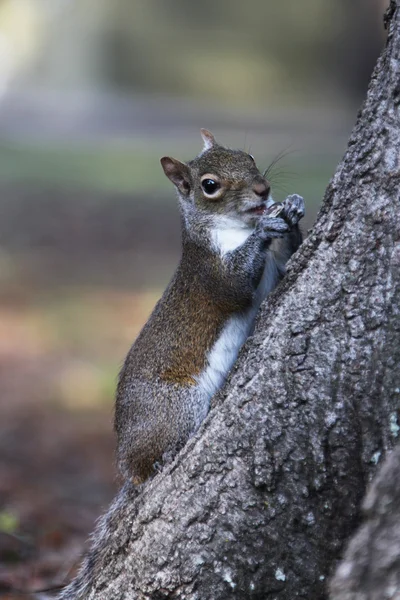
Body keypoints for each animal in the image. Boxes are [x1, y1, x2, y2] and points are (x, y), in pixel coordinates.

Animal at [115, 130, 304, 482]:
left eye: (248, 157)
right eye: (210, 185)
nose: (263, 189)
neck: (237, 228)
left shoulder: (278, 263)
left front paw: (292, 207)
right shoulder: (210, 273)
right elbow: (235, 285)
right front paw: (265, 230)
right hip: (176, 406)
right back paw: (159, 460)